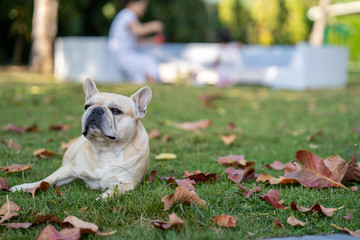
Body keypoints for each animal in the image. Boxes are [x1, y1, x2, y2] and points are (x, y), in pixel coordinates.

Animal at [11, 79, 151, 199]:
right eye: (87, 106)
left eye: (116, 111)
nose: (96, 109)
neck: (105, 149)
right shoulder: (70, 169)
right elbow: (47, 179)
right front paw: (24, 187)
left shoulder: (129, 182)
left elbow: (115, 189)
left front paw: (103, 197)